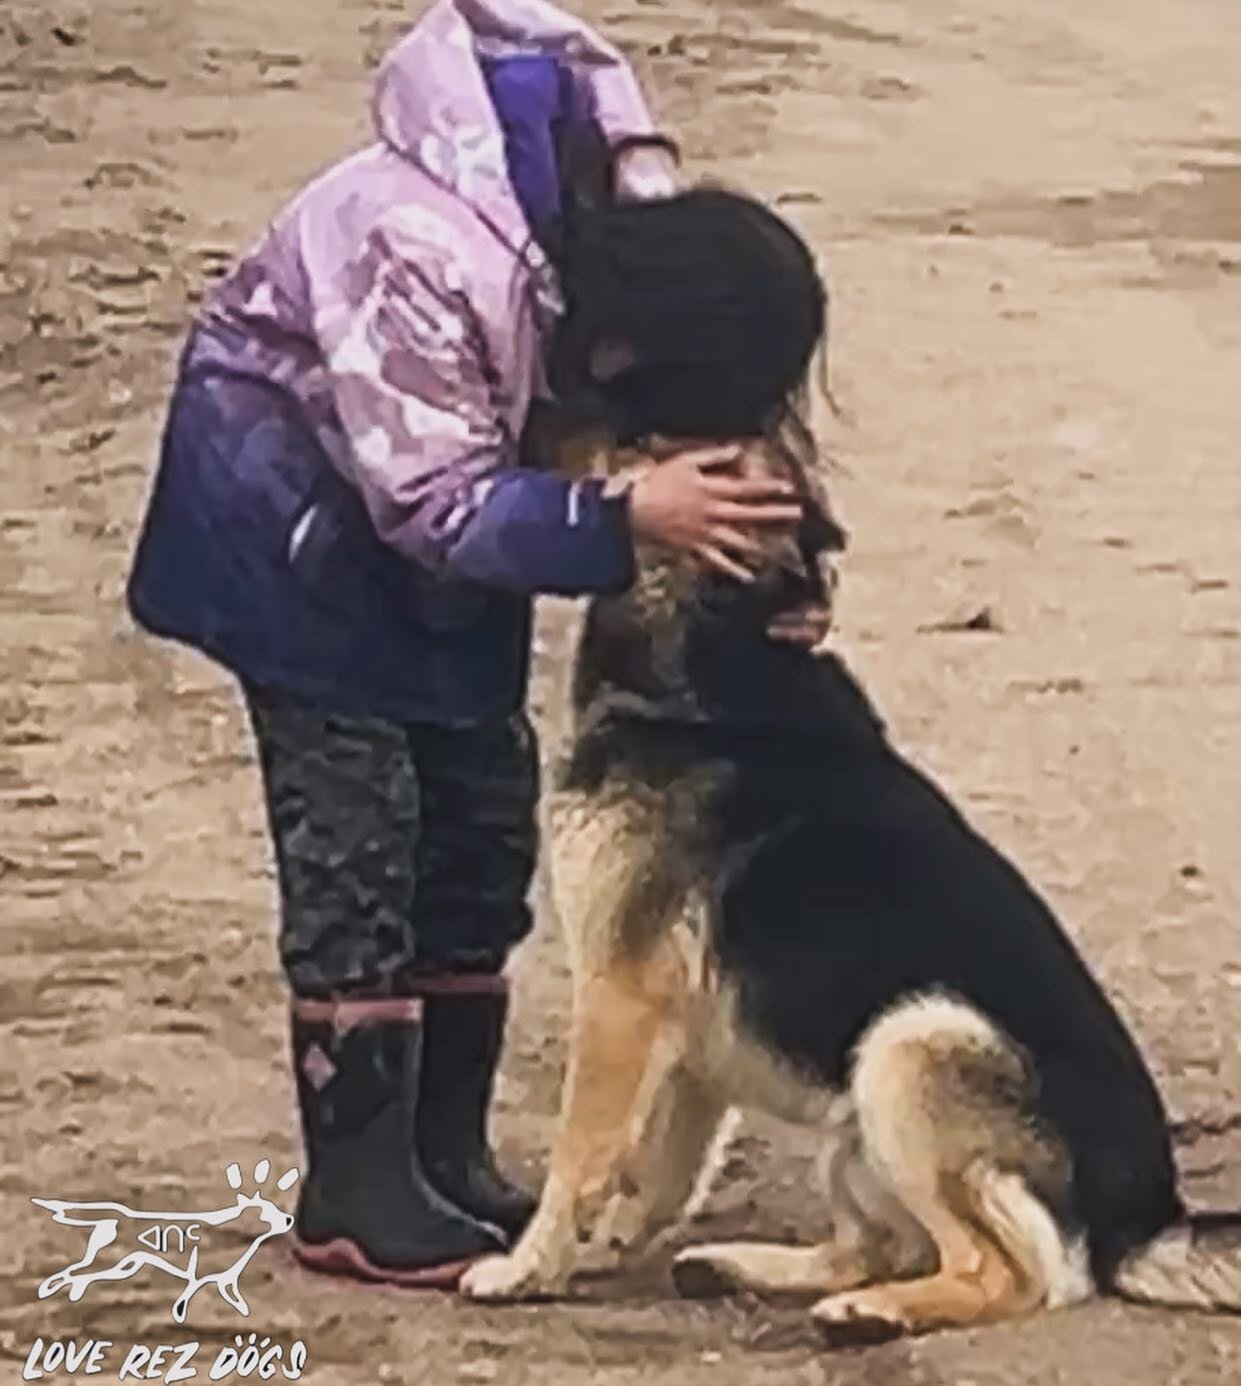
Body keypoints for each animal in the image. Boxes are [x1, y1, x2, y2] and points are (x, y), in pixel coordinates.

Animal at [463, 437, 1241, 1336]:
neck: (722, 648)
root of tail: (1146, 1216)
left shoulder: (616, 1000)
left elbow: (582, 1154)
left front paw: (530, 1266)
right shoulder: (689, 1046)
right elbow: (659, 1173)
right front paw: (599, 1251)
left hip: (911, 1042)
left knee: (1011, 1276)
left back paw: (869, 1314)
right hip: (854, 1125)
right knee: (879, 1247)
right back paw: (741, 1267)